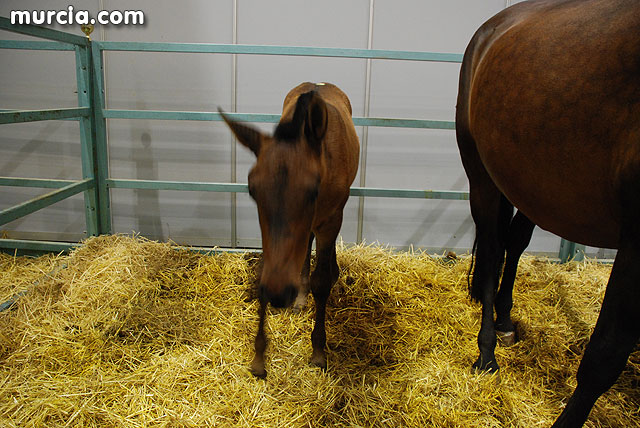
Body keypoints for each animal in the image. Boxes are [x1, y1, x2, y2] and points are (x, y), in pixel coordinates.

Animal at [220, 82, 359, 378]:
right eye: (252, 189)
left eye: (313, 190)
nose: (279, 293)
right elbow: (266, 271)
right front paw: (259, 356)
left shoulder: (330, 219)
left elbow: (322, 280)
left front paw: (318, 351)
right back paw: (301, 295)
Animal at [456, 0, 640, 426]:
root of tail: (491, 28)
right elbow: (605, 355)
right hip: (481, 173)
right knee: (492, 250)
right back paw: (486, 351)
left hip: (529, 184)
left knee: (514, 243)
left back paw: (505, 321)